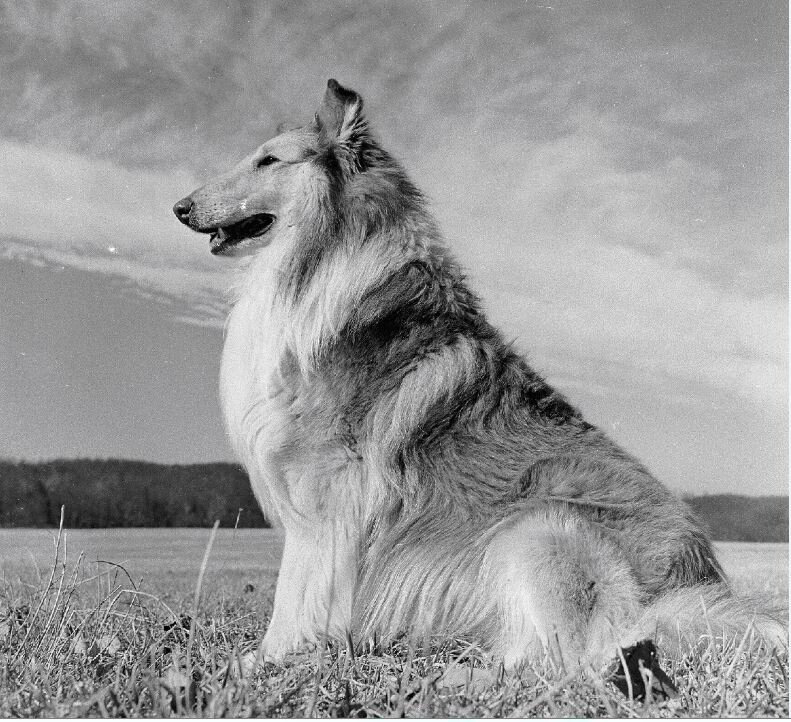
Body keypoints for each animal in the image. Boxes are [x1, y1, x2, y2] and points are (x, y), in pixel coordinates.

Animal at [173, 79, 784, 668]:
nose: (179, 208)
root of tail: (692, 585)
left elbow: (297, 590)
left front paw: (267, 659)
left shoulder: (328, 490)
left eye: (269, 160)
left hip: (536, 524)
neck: (328, 260)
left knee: (584, 658)